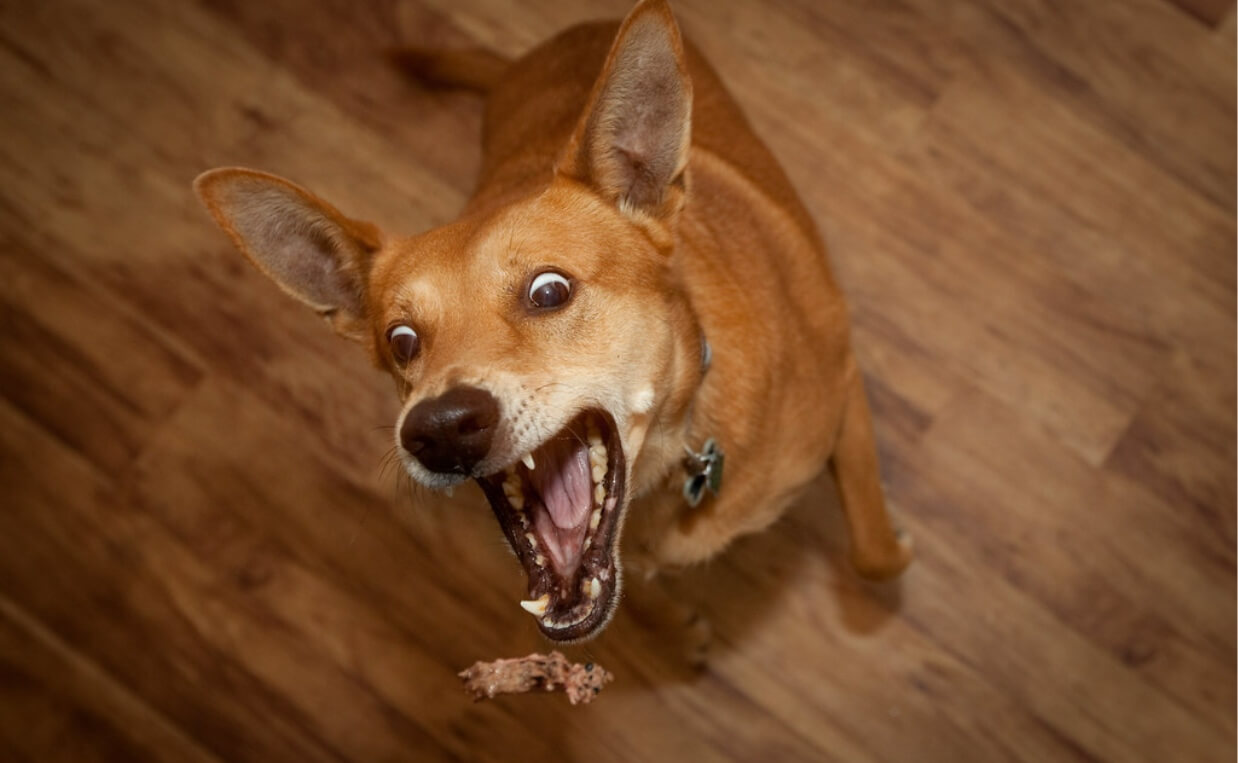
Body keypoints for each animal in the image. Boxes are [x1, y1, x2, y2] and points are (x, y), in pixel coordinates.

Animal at [193, 0, 911, 644]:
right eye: (401, 342)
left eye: (549, 291)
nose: (440, 428)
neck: (672, 466)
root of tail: (532, 55)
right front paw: (676, 628)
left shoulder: (845, 384)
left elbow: (872, 551)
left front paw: (895, 547)